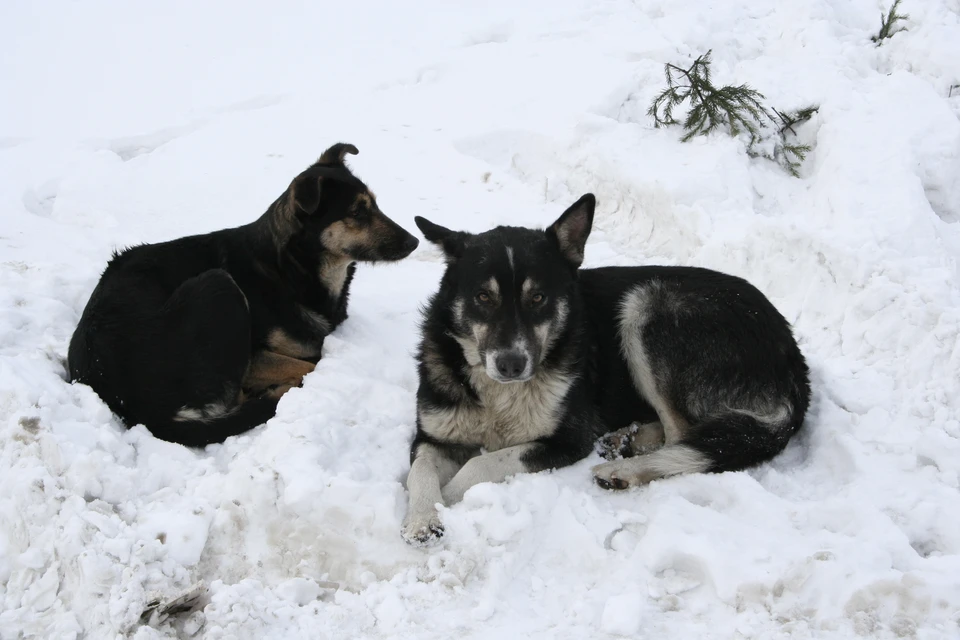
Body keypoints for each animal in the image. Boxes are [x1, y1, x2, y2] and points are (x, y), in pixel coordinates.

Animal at [69, 143, 422, 448]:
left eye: (374, 204)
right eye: (358, 212)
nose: (415, 242)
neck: (288, 270)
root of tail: (135, 406)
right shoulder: (255, 357)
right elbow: (309, 363)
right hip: (219, 285)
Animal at [400, 192, 808, 544]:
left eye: (538, 298)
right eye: (483, 297)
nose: (511, 365)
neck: (500, 397)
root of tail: (792, 357)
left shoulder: (567, 440)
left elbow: (482, 464)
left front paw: (449, 495)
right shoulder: (433, 436)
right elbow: (419, 471)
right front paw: (422, 516)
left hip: (646, 306)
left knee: (683, 435)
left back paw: (623, 469)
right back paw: (625, 439)